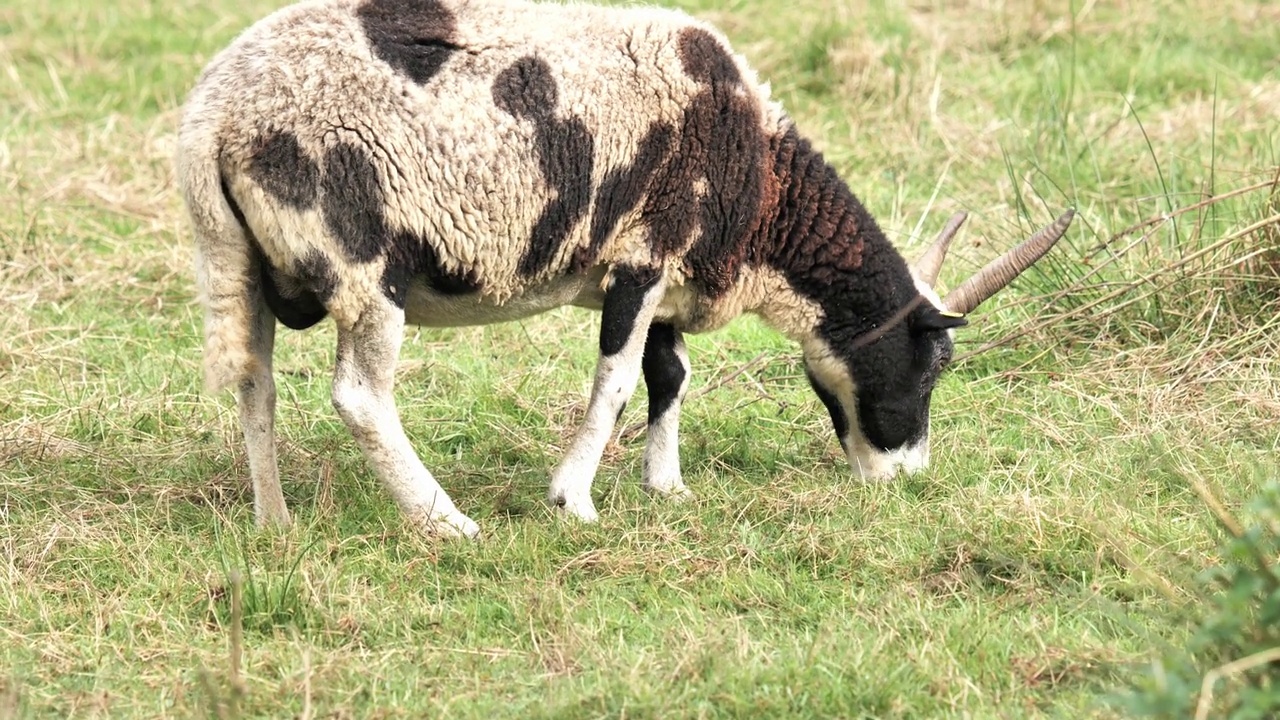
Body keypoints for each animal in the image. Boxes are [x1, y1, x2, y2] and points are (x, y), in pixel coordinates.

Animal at [175, 0, 1075, 538]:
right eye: (932, 365)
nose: (904, 479)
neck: (761, 195)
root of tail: (211, 120)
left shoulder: (669, 275)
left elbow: (668, 375)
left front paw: (666, 484)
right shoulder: (646, 251)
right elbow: (613, 381)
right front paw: (574, 500)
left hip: (240, 259)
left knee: (255, 383)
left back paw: (274, 521)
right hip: (362, 263)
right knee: (361, 398)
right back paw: (446, 522)